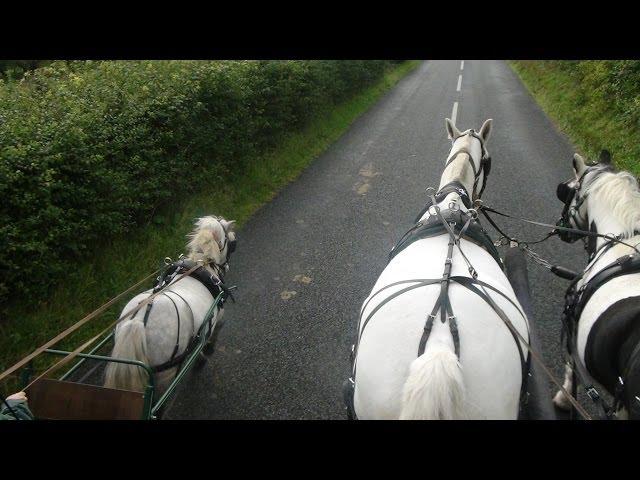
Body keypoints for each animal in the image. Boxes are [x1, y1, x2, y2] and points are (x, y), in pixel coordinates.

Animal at [104, 217, 236, 394]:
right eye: (230, 241)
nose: (226, 266)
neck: (202, 265)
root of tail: (137, 322)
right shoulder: (219, 317)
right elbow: (211, 336)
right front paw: (207, 352)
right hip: (165, 375)